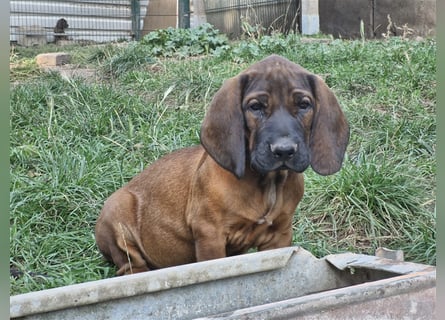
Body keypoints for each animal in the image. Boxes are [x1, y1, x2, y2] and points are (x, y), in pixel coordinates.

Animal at [94, 54, 350, 276]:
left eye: (304, 105)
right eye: (255, 107)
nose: (284, 150)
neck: (266, 183)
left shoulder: (279, 235)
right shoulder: (210, 234)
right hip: (117, 212)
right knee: (130, 266)